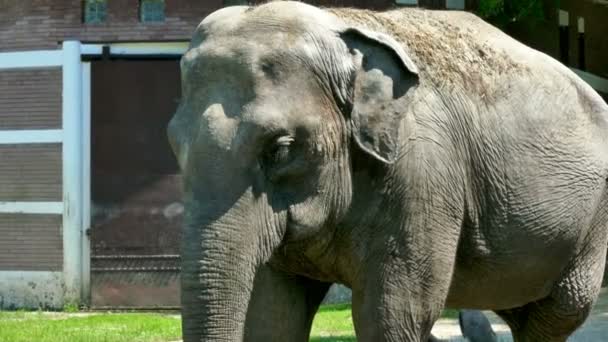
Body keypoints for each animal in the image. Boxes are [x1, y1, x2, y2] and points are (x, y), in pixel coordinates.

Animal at [169, 2, 608, 342]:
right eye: (174, 145)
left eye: (280, 149)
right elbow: (273, 313)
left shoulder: (421, 173)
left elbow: (393, 313)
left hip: (593, 223)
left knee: (560, 311)